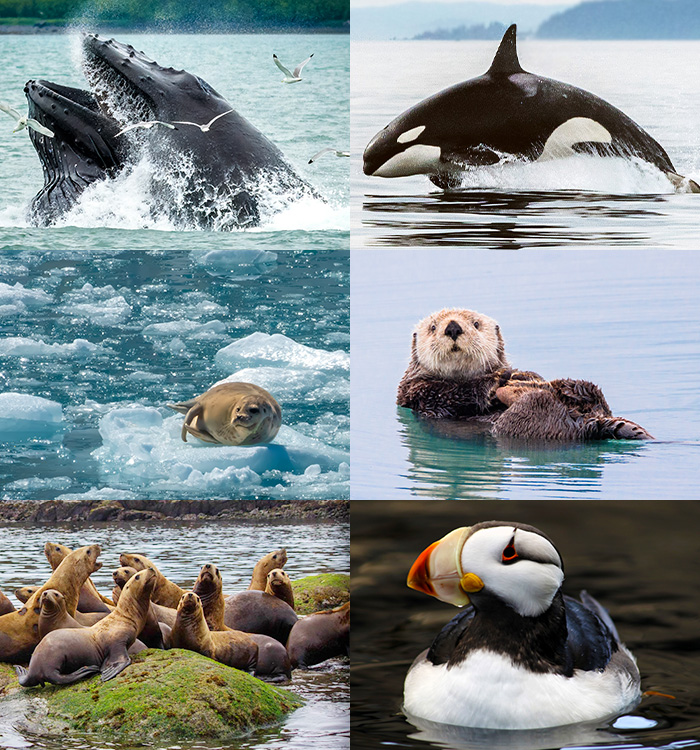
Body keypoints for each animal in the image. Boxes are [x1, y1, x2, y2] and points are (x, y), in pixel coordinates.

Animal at [398, 309, 653, 441]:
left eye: (476, 324)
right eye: (432, 328)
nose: (452, 327)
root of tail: (588, 424)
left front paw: (521, 374)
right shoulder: (417, 392)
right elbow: (451, 393)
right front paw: (498, 379)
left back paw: (560, 386)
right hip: (523, 425)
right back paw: (515, 391)